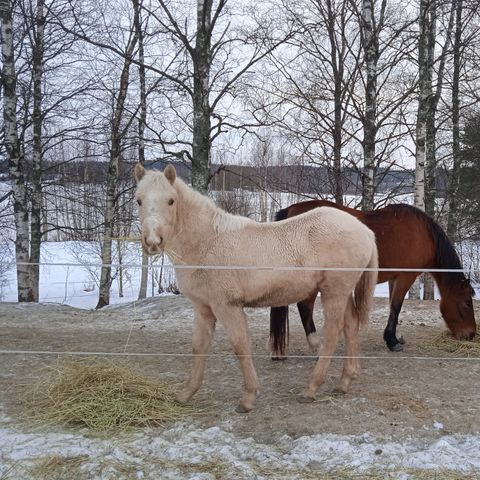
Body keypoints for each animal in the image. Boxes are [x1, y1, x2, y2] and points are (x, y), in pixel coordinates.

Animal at [133, 165, 376, 412]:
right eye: (139, 200)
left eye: (171, 200)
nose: (152, 242)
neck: (208, 243)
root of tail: (364, 231)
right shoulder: (203, 309)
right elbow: (199, 347)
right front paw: (186, 393)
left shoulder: (227, 307)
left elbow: (240, 346)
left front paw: (248, 397)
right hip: (341, 293)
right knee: (351, 325)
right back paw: (344, 381)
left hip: (334, 293)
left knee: (333, 334)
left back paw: (311, 389)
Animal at [270, 200, 476, 356]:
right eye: (466, 303)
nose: (472, 334)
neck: (424, 234)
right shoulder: (405, 277)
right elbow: (396, 307)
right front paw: (392, 341)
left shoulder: (395, 278)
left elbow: (393, 307)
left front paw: (393, 337)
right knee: (305, 306)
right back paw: (315, 345)